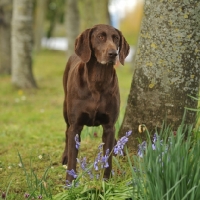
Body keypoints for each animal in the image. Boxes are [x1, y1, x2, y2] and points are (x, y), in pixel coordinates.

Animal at [61, 24, 129, 182]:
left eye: (116, 38)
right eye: (100, 37)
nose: (113, 54)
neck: (98, 80)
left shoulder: (109, 125)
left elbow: (107, 157)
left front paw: (106, 181)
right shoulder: (76, 125)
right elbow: (73, 158)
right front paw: (69, 183)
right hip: (65, 108)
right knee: (66, 131)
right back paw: (65, 156)